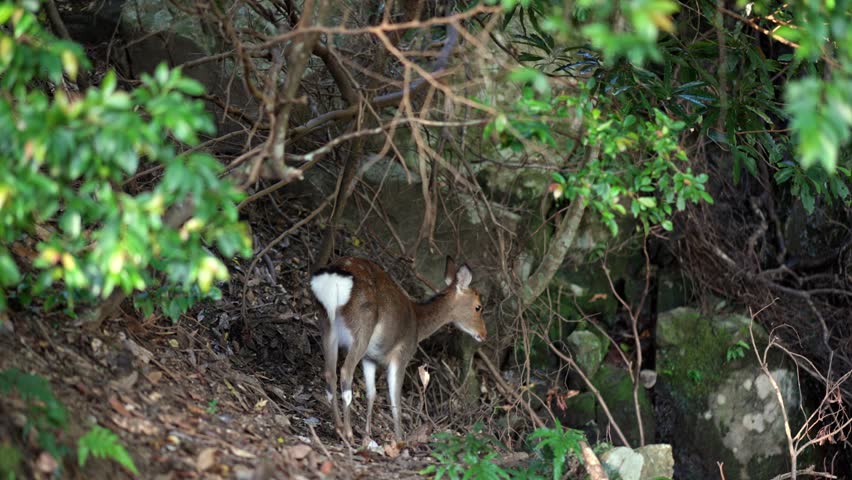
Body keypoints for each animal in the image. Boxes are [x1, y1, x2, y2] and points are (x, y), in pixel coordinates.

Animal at [310, 256, 487, 442]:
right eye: (478, 307)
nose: (484, 334)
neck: (418, 325)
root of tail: (333, 277)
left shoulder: (370, 357)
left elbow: (372, 393)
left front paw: (367, 436)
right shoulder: (402, 355)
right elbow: (395, 401)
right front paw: (400, 441)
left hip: (326, 323)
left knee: (330, 372)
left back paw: (338, 428)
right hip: (362, 329)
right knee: (345, 371)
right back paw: (348, 433)